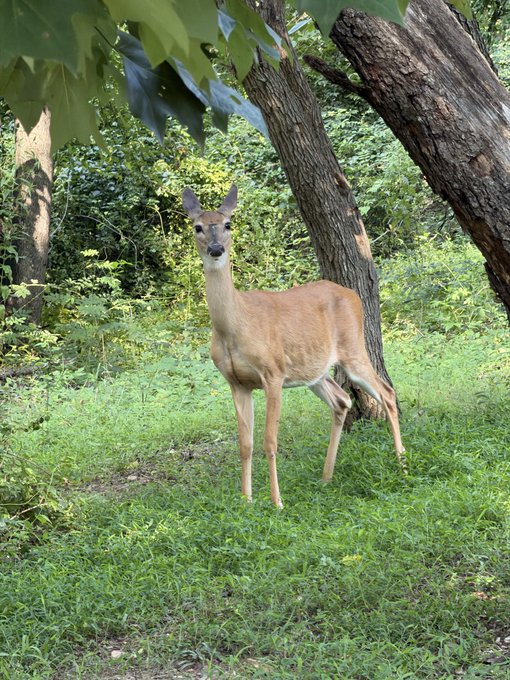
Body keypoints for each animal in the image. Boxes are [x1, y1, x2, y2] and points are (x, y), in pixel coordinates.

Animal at [182, 184, 406, 508]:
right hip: (314, 370)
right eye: (198, 227)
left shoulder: (273, 372)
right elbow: (245, 444)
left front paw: (277, 502)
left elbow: (269, 441)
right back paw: (326, 477)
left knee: (386, 392)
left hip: (353, 347)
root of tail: (353, 295)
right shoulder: (236, 382)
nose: (215, 249)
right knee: (342, 400)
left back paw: (401, 462)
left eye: (228, 224)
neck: (236, 326)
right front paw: (246, 500)